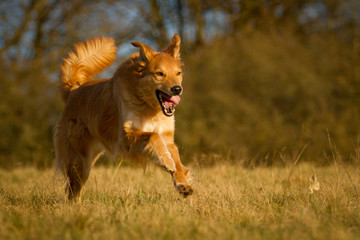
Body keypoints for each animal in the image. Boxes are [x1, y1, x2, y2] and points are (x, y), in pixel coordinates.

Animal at [53, 34, 193, 202]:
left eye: (178, 73)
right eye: (160, 73)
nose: (177, 89)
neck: (149, 107)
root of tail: (73, 91)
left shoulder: (167, 138)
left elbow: (177, 162)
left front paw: (182, 183)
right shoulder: (125, 137)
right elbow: (153, 137)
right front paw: (166, 161)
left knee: (72, 189)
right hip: (80, 161)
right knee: (72, 189)